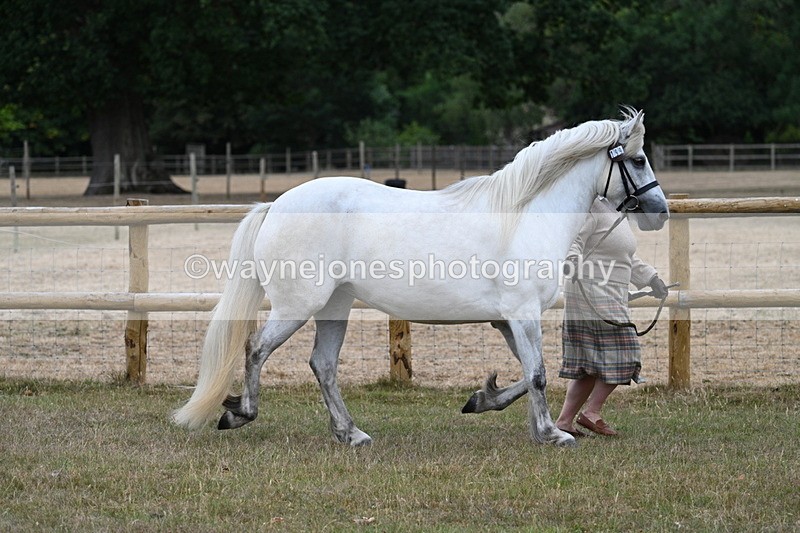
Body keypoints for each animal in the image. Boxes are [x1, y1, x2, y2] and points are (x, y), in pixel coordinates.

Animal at [172, 108, 669, 448]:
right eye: (638, 160)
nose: (660, 212)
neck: (524, 216)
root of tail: (275, 205)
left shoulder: (506, 319)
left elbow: (529, 374)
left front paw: (484, 400)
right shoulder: (522, 313)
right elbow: (540, 374)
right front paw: (552, 434)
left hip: (335, 306)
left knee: (323, 365)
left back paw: (351, 434)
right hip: (299, 305)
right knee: (256, 349)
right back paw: (240, 413)